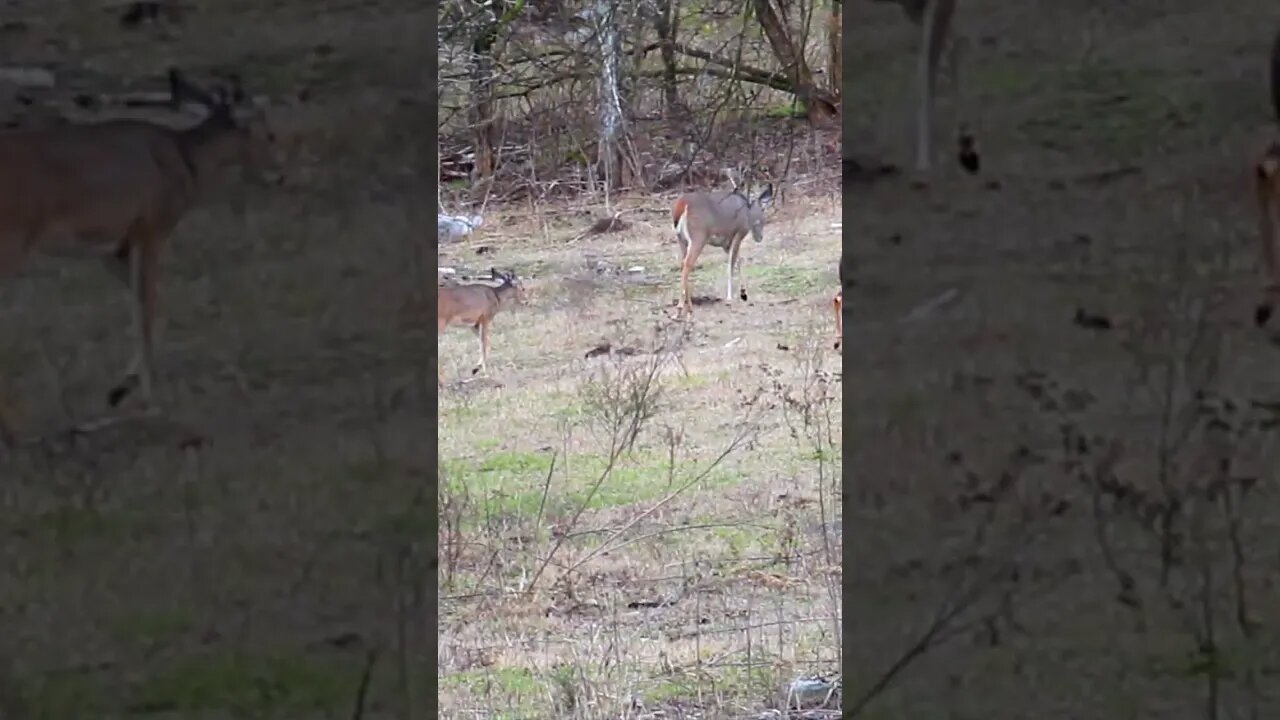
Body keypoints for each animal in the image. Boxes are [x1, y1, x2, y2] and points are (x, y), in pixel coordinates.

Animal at [0, 67, 281, 430]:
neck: (185, 159)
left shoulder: (116, 247)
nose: (279, 173)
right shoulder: (152, 228)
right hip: (12, 241)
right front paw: (147, 397)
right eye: (271, 135)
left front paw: (121, 389)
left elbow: (155, 305)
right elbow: (147, 309)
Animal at [670, 180, 768, 315]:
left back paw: (687, 306)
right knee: (687, 264)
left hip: (682, 239)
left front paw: (743, 293)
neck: (746, 211)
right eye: (762, 217)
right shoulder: (739, 232)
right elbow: (732, 263)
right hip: (698, 237)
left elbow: (738, 260)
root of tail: (682, 205)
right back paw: (681, 307)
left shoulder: (726, 242)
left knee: (683, 263)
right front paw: (730, 298)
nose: (760, 237)